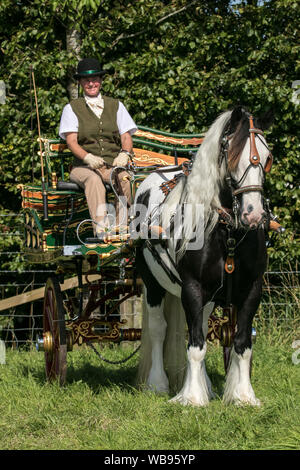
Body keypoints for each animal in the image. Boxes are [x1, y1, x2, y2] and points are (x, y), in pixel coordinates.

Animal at [132, 105, 274, 404]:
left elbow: (241, 344)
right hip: (152, 282)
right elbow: (195, 344)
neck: (226, 233)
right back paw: (157, 384)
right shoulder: (192, 288)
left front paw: (243, 395)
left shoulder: (252, 289)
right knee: (159, 329)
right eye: (231, 154)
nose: (254, 214)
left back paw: (205, 385)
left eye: (267, 158)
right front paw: (193, 398)